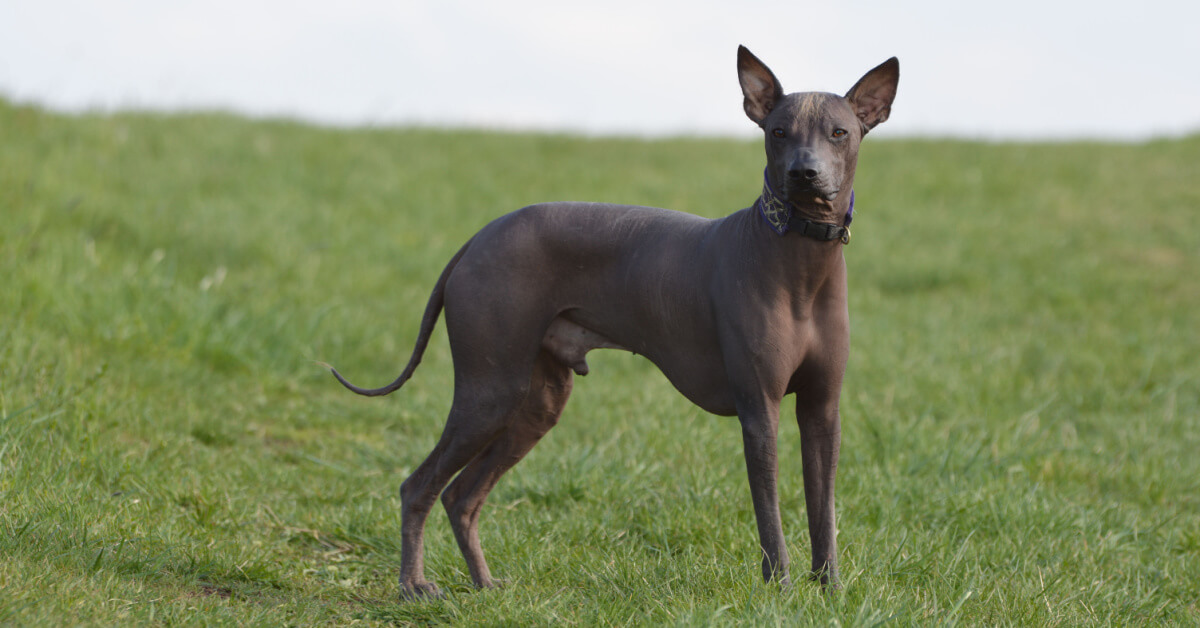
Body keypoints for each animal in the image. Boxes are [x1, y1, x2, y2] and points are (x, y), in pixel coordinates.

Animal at [333, 45, 897, 600]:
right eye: (779, 132)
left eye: (839, 133)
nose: (805, 173)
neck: (801, 262)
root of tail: (479, 237)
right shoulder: (760, 412)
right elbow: (770, 513)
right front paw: (780, 588)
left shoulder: (822, 411)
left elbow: (824, 510)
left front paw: (830, 589)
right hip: (488, 392)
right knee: (418, 486)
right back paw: (413, 586)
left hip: (536, 405)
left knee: (461, 496)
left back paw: (485, 584)